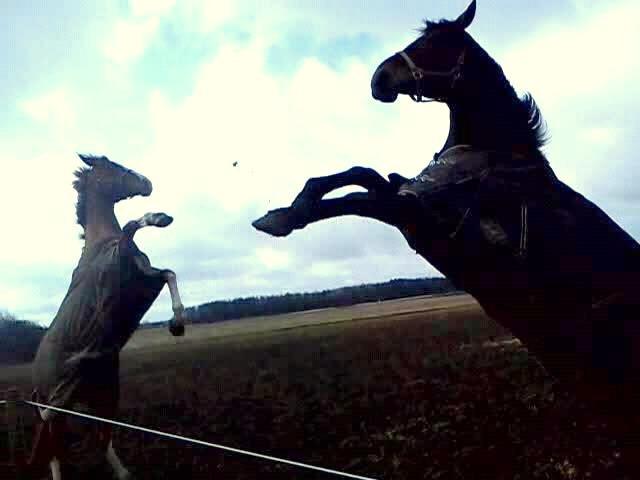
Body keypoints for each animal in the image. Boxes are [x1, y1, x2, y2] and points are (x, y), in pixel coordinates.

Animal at [30, 155, 185, 480]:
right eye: (112, 166)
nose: (147, 183)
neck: (102, 245)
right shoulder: (123, 268)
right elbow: (131, 225)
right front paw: (159, 217)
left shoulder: (146, 278)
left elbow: (169, 273)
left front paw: (177, 324)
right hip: (61, 401)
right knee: (54, 441)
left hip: (101, 393)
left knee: (95, 436)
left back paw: (124, 473)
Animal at [255, 0, 640, 404]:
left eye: (436, 44)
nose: (379, 79)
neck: (489, 160)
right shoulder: (408, 204)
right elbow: (361, 175)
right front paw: (290, 206)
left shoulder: (421, 219)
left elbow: (358, 199)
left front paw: (284, 218)